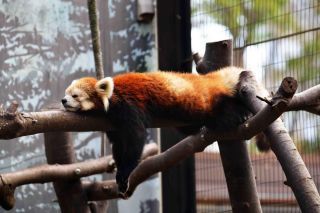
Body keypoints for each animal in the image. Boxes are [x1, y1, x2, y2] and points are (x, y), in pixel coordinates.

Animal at [62, 67, 262, 193]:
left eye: (75, 95)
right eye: (66, 93)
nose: (63, 101)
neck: (112, 96)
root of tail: (209, 79)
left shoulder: (128, 106)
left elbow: (136, 137)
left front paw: (125, 172)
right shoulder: (113, 126)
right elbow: (118, 145)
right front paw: (120, 176)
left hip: (208, 101)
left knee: (225, 110)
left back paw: (240, 114)